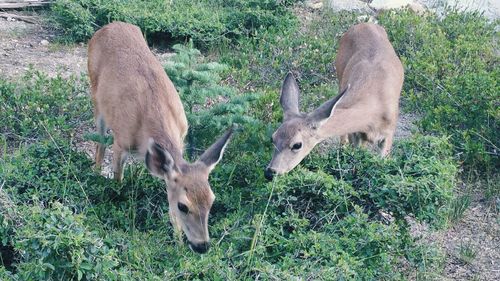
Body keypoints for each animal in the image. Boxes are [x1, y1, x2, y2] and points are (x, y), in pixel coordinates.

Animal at [88, 21, 232, 253]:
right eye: (184, 205)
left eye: (212, 200)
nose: (202, 246)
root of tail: (108, 26)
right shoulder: (120, 142)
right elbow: (118, 179)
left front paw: (178, 244)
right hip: (95, 97)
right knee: (100, 143)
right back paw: (94, 173)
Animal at [264, 22, 404, 179]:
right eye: (273, 138)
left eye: (297, 144)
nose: (270, 172)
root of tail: (365, 24)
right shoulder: (355, 133)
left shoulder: (389, 134)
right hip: (340, 75)